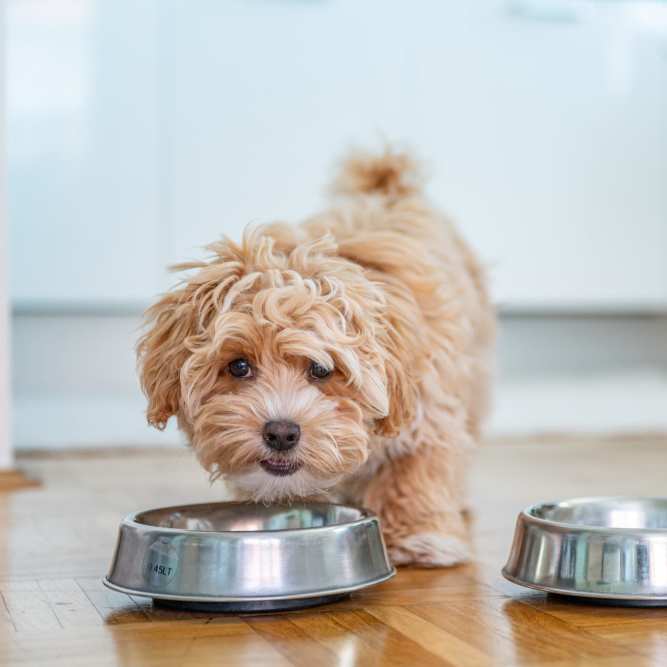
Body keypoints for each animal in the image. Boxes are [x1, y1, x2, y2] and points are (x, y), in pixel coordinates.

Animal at [138, 149, 494, 568]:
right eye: (239, 366)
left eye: (321, 369)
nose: (281, 433)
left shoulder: (428, 408)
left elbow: (414, 469)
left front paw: (418, 536)